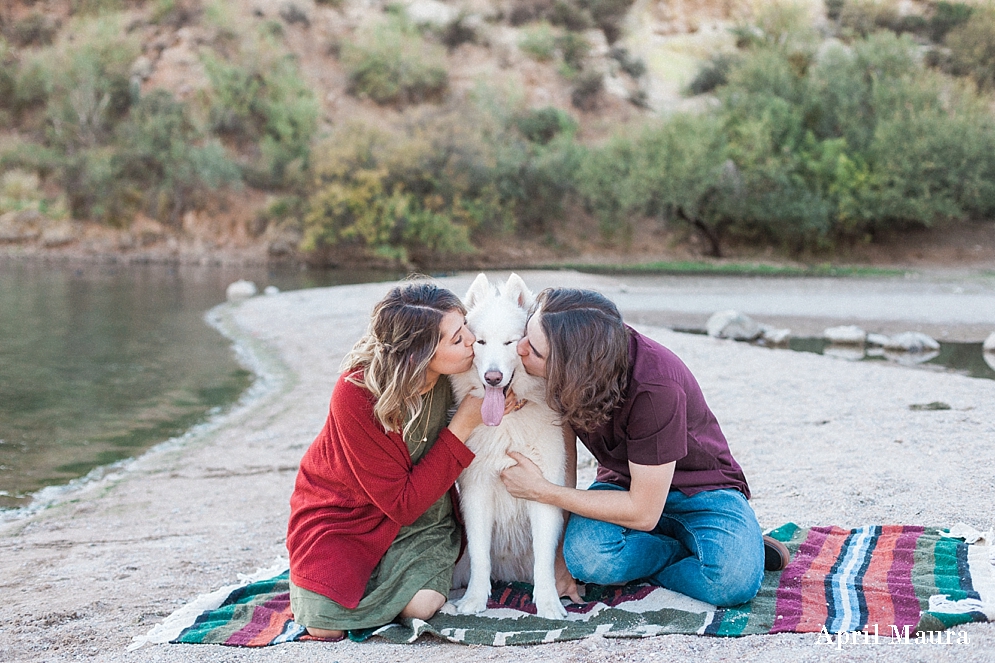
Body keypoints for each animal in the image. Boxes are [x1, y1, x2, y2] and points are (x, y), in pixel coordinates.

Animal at [450, 272, 568, 620]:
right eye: (480, 342)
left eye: (510, 342)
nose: (493, 377)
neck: (506, 421)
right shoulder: (476, 491)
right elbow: (480, 555)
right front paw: (475, 600)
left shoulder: (542, 490)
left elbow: (544, 559)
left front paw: (548, 604)